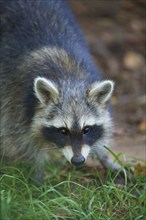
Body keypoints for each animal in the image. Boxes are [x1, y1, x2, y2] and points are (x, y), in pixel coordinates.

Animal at [0, 0, 123, 183]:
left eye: (87, 129)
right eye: (63, 131)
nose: (78, 161)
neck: (69, 78)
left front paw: (105, 156)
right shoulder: (14, 98)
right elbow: (22, 141)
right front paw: (36, 172)